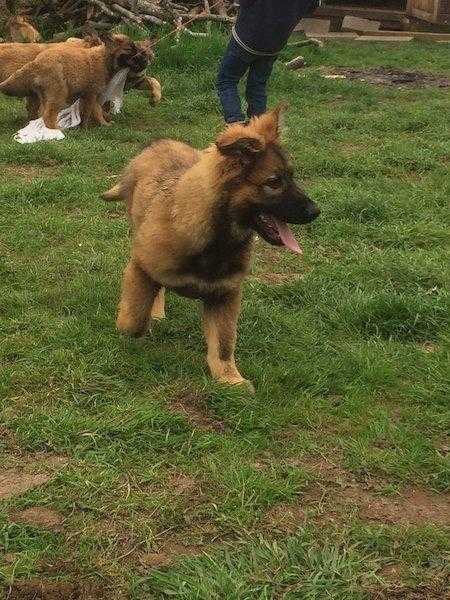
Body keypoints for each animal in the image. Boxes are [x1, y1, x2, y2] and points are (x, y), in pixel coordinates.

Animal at [0, 33, 150, 128]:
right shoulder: (90, 94)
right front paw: (85, 128)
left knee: (41, 114)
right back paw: (56, 132)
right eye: (130, 49)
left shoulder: (92, 96)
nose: (145, 61)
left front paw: (104, 124)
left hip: (43, 96)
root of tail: (37, 61)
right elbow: (88, 112)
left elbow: (98, 112)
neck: (103, 58)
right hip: (58, 94)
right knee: (48, 115)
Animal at [102, 107, 320, 390]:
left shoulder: (225, 293)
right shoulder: (140, 267)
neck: (215, 239)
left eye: (291, 177)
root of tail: (160, 142)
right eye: (274, 181)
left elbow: (224, 343)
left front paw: (230, 379)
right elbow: (132, 320)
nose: (316, 211)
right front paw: (138, 329)